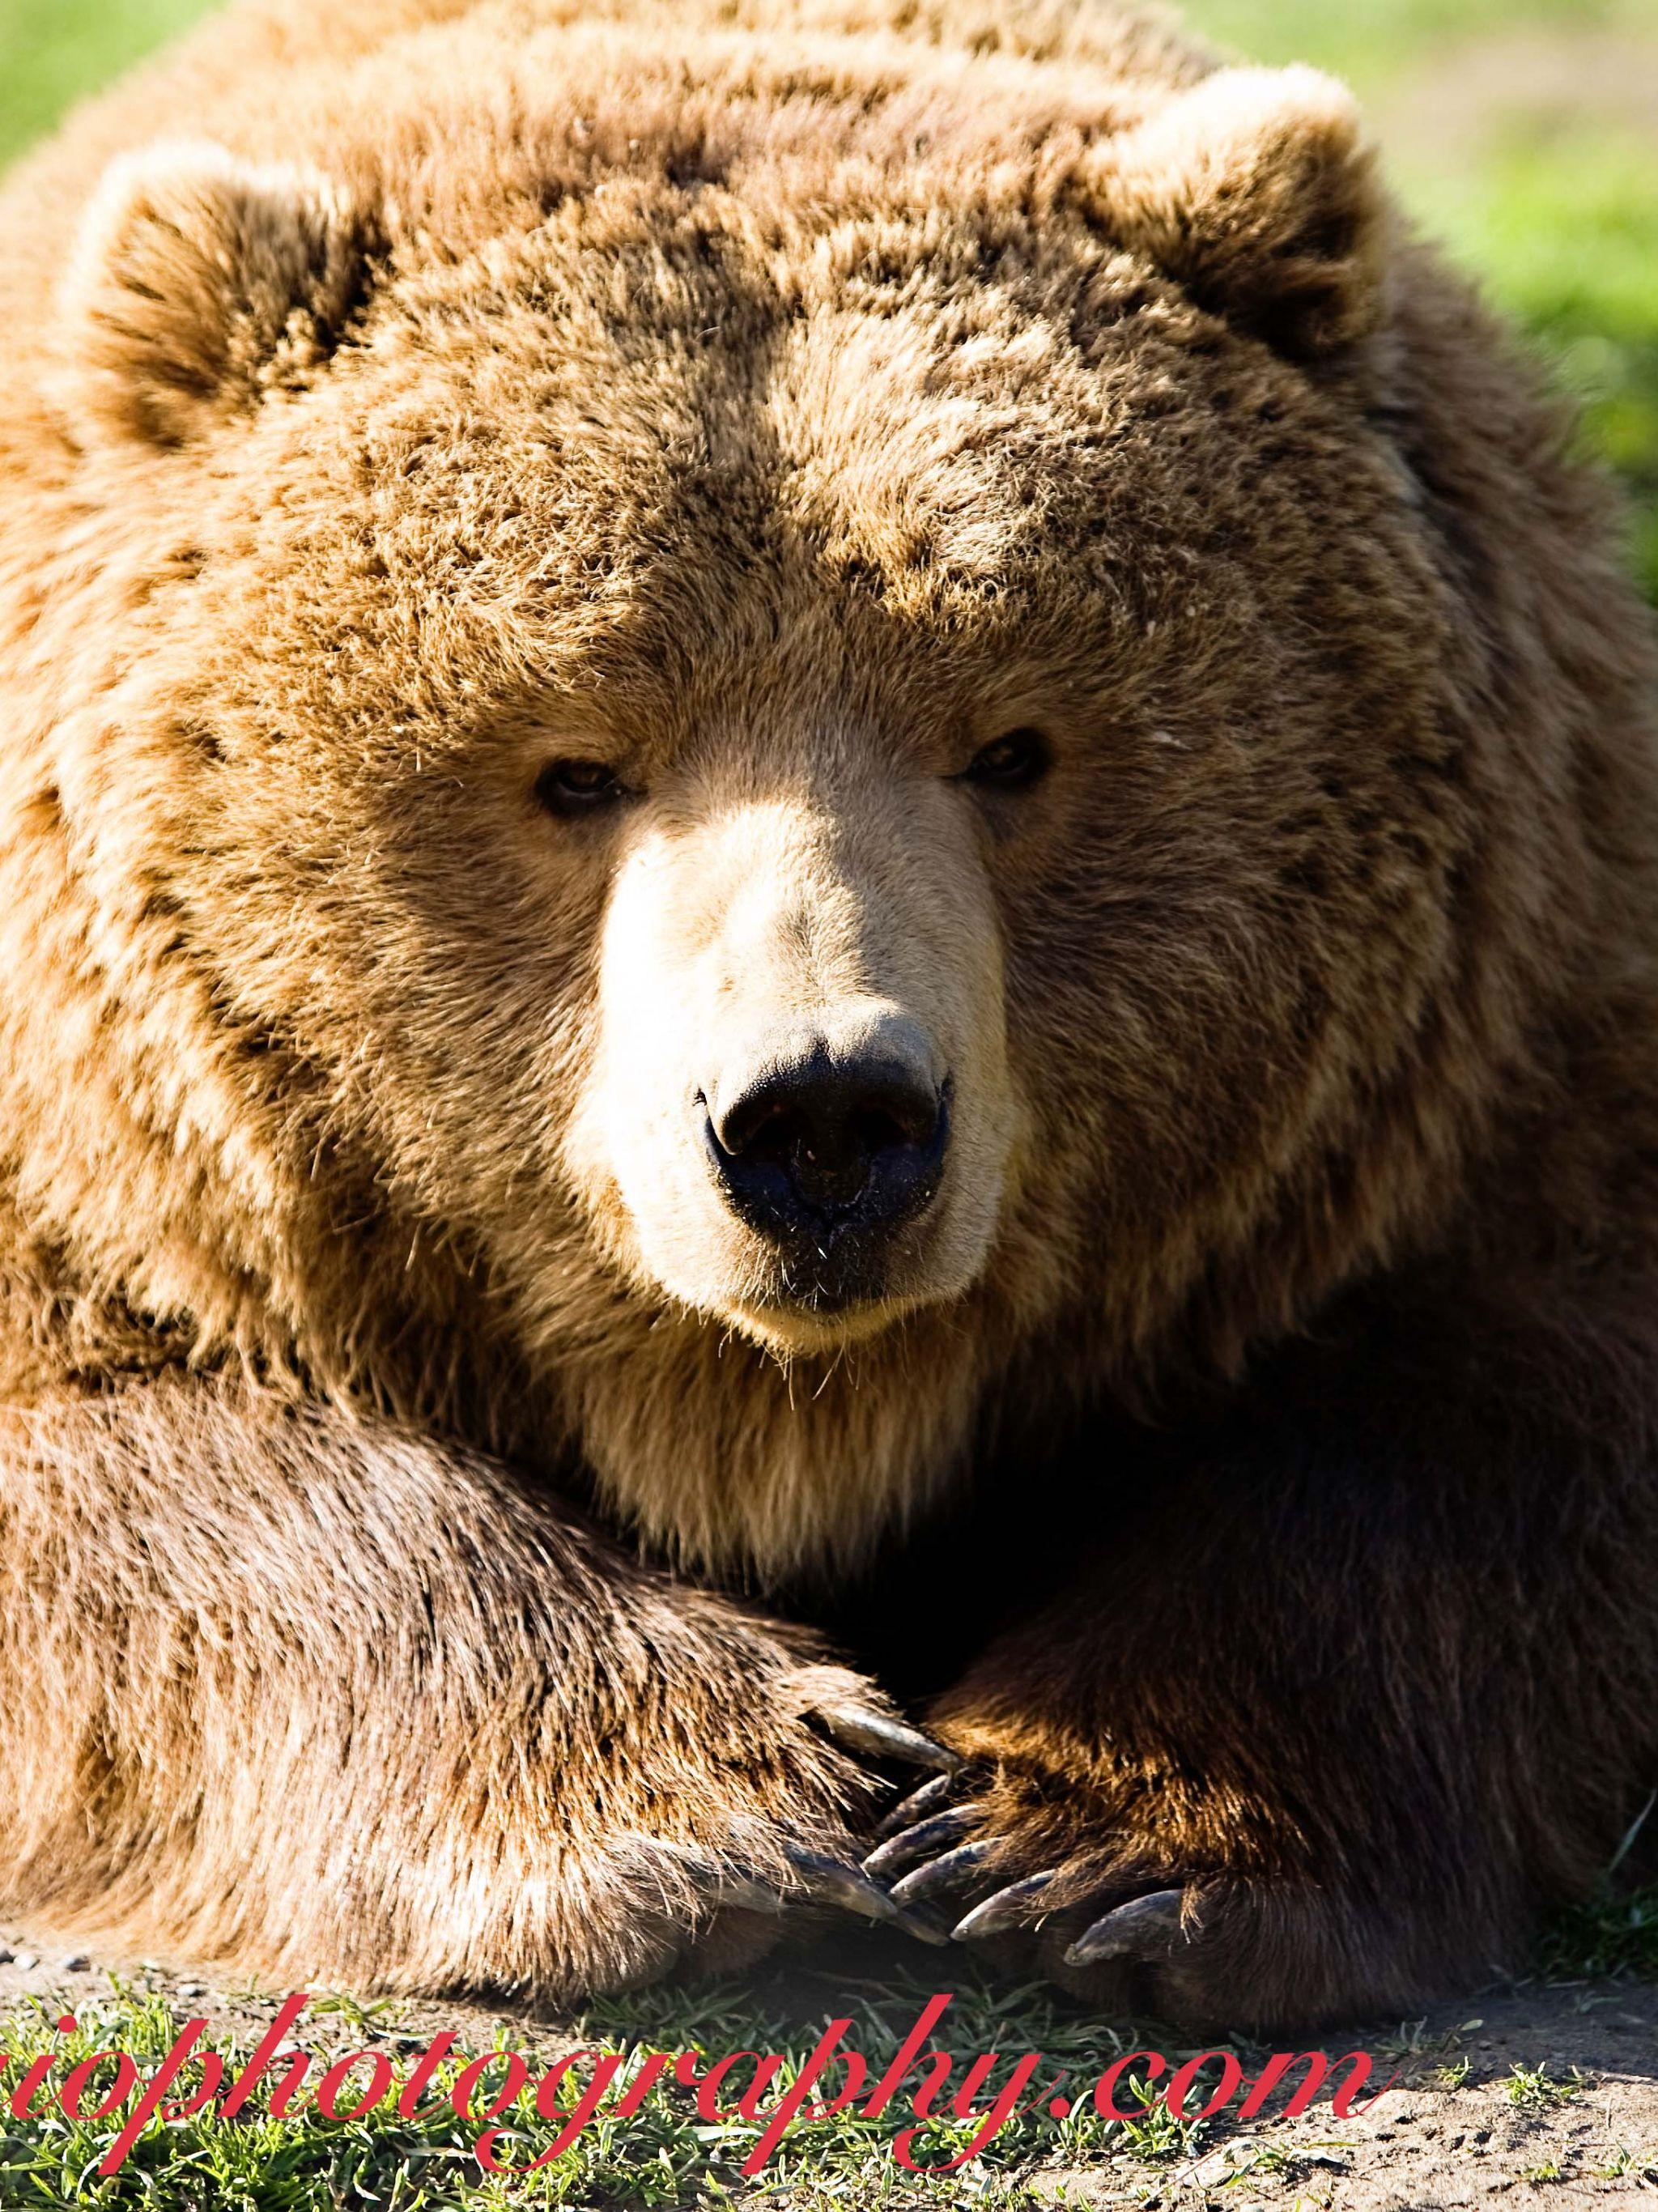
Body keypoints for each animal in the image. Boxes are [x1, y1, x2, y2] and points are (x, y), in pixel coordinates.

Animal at [0, 0, 1654, 2035]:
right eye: (576, 762)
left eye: (1010, 742)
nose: (822, 1122)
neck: (778, 1420)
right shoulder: (107, 1146)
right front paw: (719, 1791)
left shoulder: (1500, 1048)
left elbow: (1480, 1424)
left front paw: (1075, 1834)